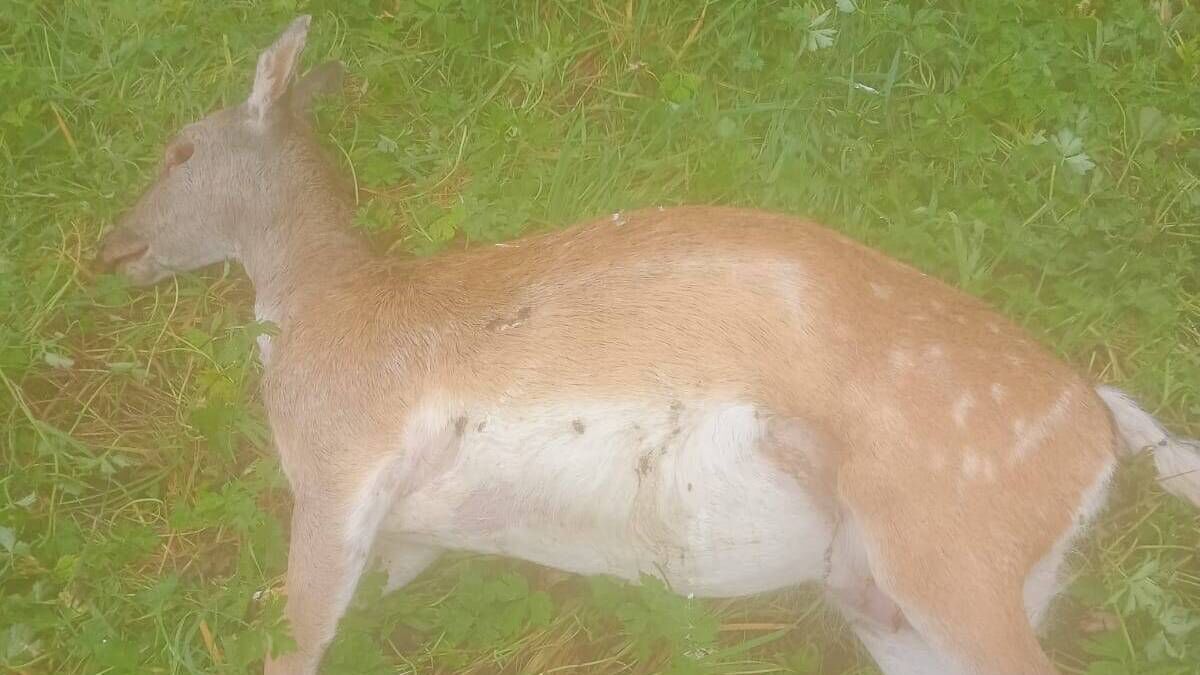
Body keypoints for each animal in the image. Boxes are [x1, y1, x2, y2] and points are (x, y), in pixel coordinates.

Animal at [96, 16, 1200, 675]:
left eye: (181, 148)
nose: (114, 244)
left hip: (946, 536)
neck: (320, 306)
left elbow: (296, 637)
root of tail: (1102, 425)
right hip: (901, 598)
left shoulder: (341, 457)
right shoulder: (403, 526)